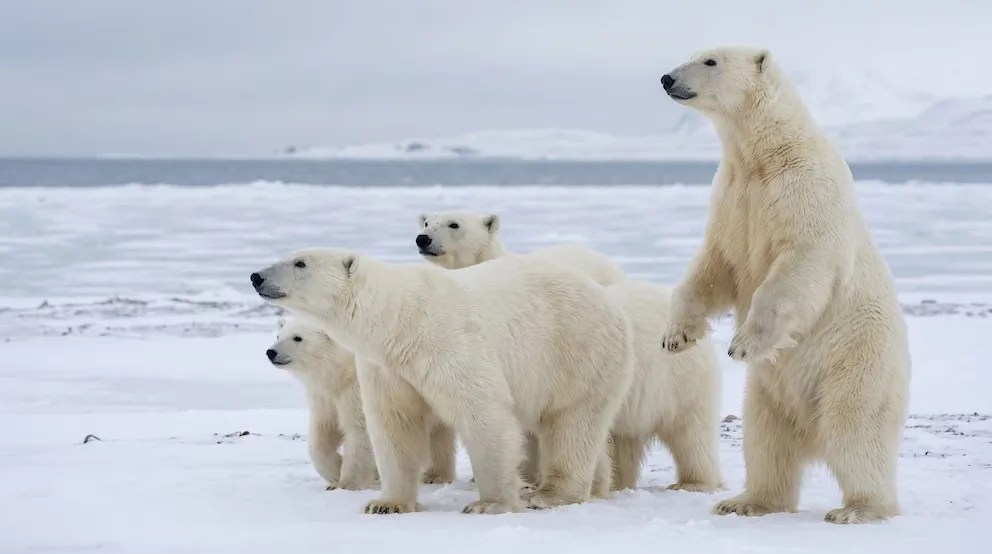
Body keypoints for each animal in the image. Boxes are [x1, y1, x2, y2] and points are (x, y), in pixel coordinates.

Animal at [266, 317, 457, 489]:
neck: (343, 371)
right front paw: (336, 469)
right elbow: (323, 431)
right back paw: (435, 474)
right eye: (278, 335)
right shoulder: (325, 397)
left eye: (297, 338)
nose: (270, 352)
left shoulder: (358, 390)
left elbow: (360, 431)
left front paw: (347, 483)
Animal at [659, 46, 911, 524]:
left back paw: (858, 508)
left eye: (711, 61)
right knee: (766, 438)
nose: (666, 78)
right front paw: (676, 336)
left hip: (856, 358)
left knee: (855, 428)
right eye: (692, 55)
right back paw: (745, 501)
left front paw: (743, 344)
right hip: (767, 392)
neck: (765, 156)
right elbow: (714, 266)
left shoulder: (805, 190)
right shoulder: (732, 198)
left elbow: (799, 263)